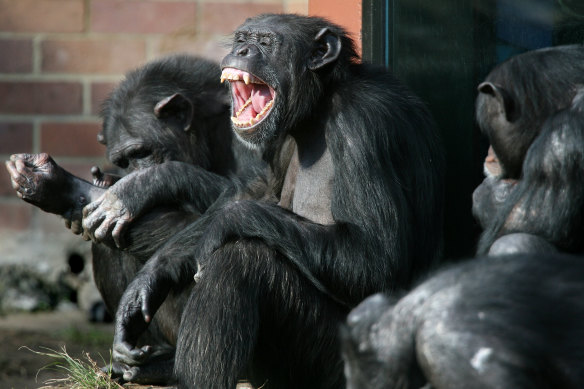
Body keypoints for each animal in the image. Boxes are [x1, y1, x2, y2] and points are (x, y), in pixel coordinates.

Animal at [4, 53, 260, 384]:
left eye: (142, 152)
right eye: (123, 160)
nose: (133, 172)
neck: (209, 134)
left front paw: (142, 185)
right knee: (106, 241)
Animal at [80, 13, 444, 386]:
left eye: (266, 42)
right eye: (242, 38)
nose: (242, 50)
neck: (318, 108)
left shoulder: (361, 127)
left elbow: (376, 254)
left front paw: (147, 188)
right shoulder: (275, 140)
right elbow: (255, 190)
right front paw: (149, 278)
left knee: (242, 259)